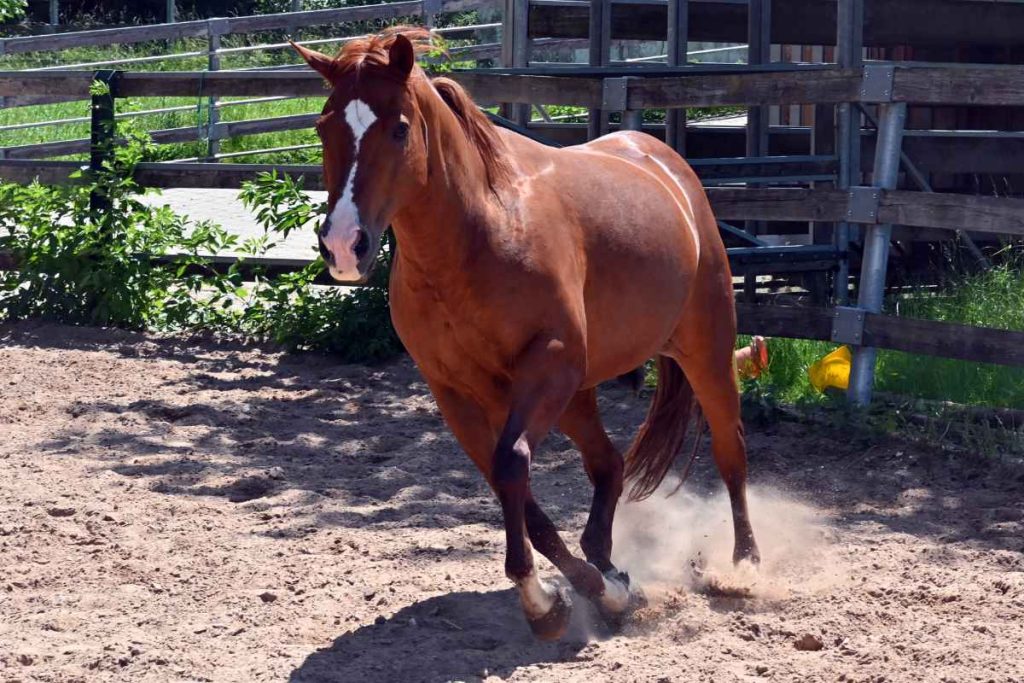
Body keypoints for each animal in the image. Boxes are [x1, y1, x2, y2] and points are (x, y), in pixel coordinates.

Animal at [292, 28, 760, 640]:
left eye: (398, 128)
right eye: (324, 127)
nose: (345, 246)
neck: (479, 235)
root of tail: (666, 165)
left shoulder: (549, 366)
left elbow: (512, 464)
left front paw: (555, 597)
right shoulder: (456, 392)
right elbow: (506, 483)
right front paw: (583, 591)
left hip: (704, 350)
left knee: (731, 452)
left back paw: (745, 568)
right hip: (579, 394)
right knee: (609, 465)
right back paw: (608, 564)